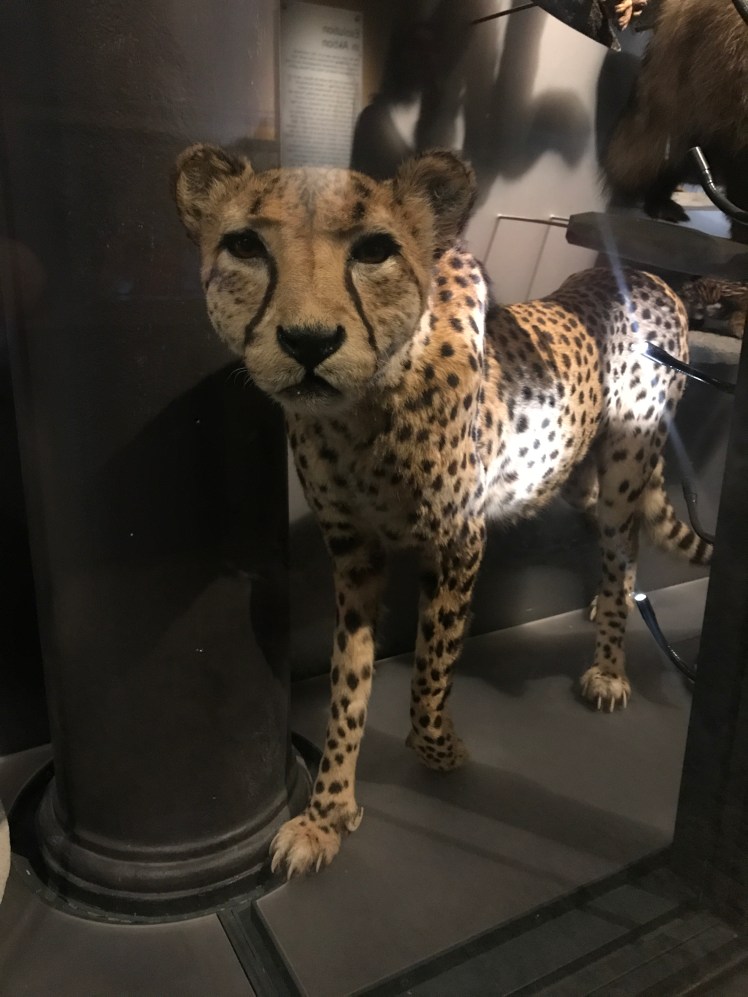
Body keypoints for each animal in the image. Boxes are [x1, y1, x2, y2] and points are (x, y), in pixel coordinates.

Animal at [173, 144, 712, 878]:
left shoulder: (459, 542)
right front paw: (326, 814)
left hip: (630, 461)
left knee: (623, 539)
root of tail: (651, 277)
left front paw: (442, 751)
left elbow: (429, 672)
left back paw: (608, 664)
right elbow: (348, 684)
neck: (364, 410)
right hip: (578, 466)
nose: (308, 341)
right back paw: (609, 604)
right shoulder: (354, 554)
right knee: (608, 528)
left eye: (375, 249)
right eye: (245, 245)